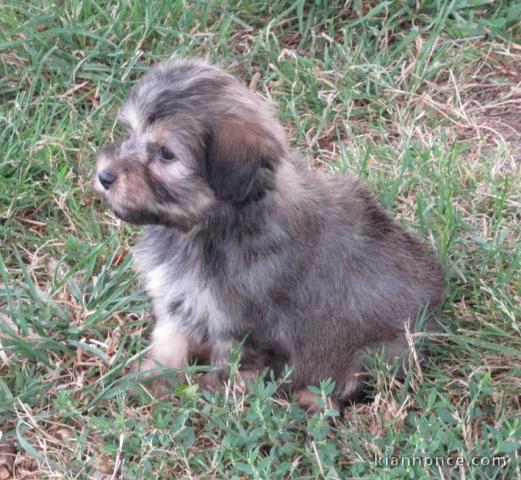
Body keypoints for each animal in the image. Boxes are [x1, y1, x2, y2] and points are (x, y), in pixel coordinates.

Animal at [94, 57, 442, 408]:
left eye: (166, 153)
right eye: (130, 132)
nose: (105, 176)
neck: (211, 226)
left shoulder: (242, 324)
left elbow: (233, 366)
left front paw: (216, 397)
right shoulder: (178, 297)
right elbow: (168, 339)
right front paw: (151, 380)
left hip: (380, 349)